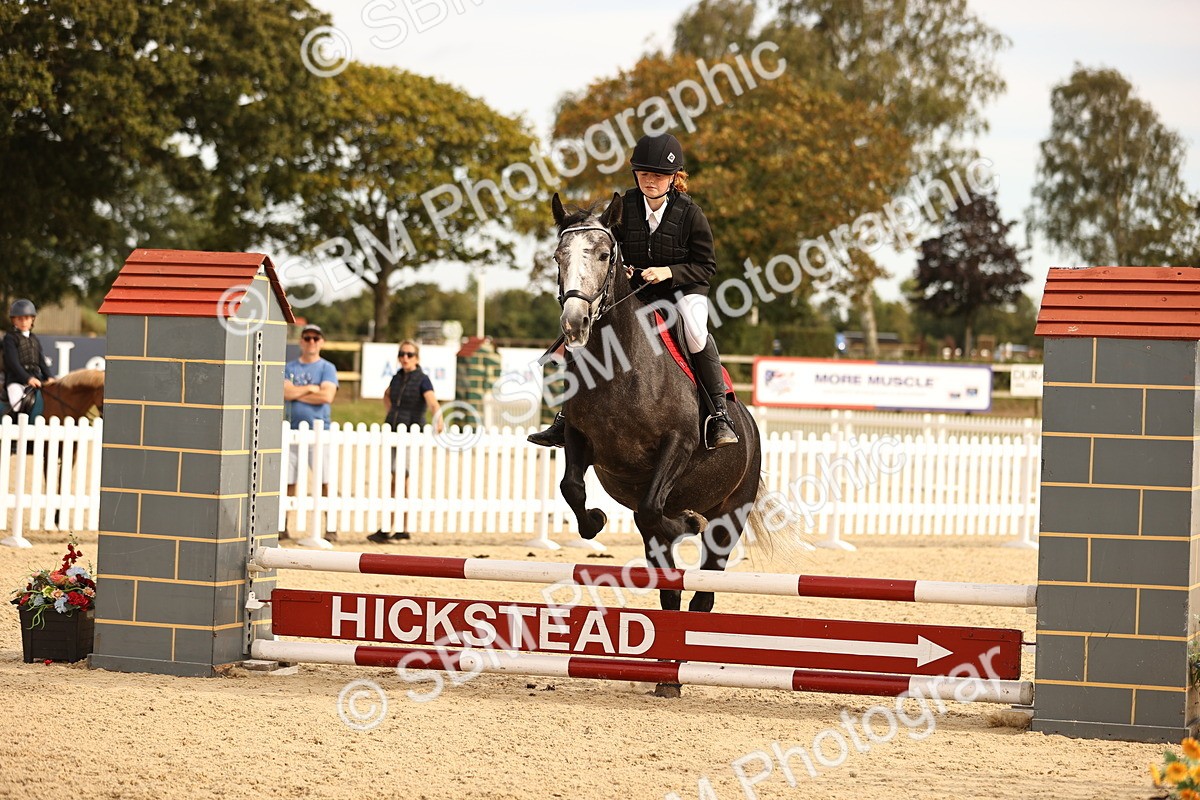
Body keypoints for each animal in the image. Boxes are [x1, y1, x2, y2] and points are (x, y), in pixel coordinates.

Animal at [550, 193, 782, 695]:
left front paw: (687, 521)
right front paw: (594, 521)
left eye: (604, 254)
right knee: (669, 582)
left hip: (731, 516)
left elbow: (652, 506)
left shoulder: (676, 445)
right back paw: (667, 674)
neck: (618, 364)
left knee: (704, 584)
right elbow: (573, 489)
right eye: (558, 257)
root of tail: (751, 426)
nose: (575, 324)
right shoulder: (579, 439)